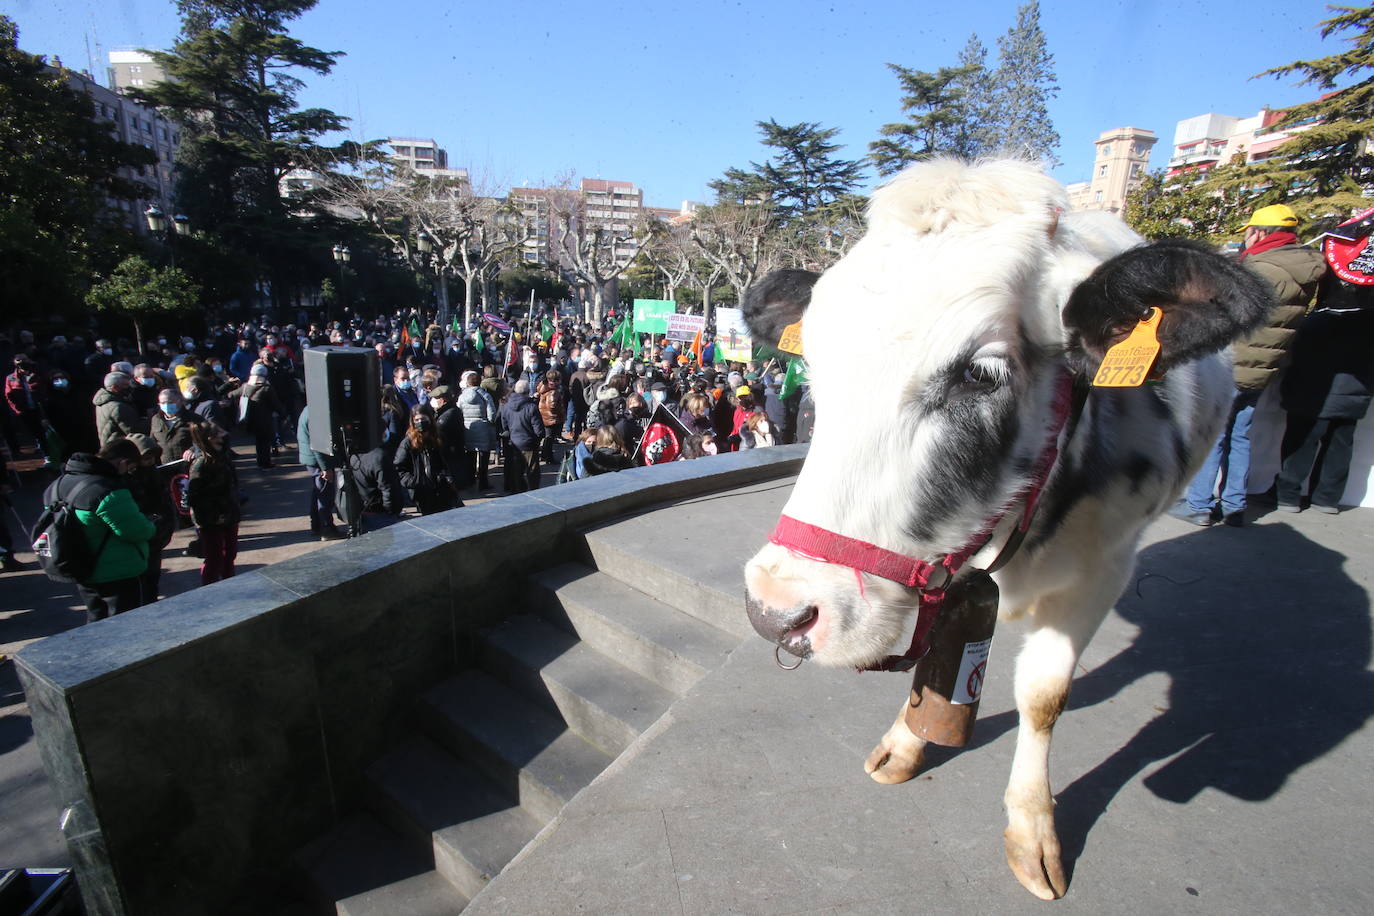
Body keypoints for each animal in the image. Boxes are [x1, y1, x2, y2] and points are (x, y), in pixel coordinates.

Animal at [747, 159, 1269, 900]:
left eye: (979, 375)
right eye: (810, 363)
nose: (777, 610)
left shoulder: (1104, 569)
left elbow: (1044, 697)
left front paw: (1032, 830)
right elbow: (938, 666)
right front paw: (906, 742)